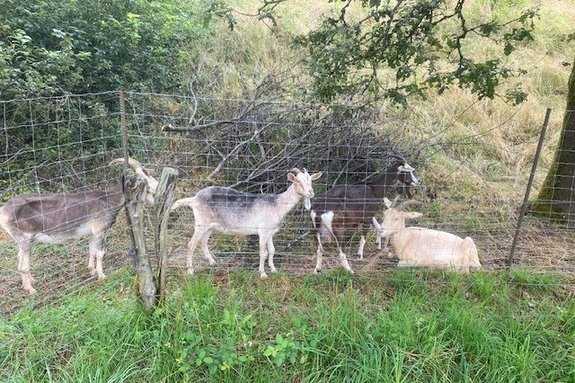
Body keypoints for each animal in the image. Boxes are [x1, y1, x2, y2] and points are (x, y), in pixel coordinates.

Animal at [0, 158, 159, 296]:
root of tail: (4, 210)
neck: (108, 200)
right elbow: (100, 253)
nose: (157, 188)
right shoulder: (100, 231)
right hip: (25, 238)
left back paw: (31, 281)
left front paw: (92, 270)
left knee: (20, 258)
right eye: (142, 179)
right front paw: (102, 276)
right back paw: (31, 289)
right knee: (22, 265)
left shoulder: (92, 234)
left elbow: (92, 251)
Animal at [171, 168, 324, 280]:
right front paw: (263, 274)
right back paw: (190, 270)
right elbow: (263, 252)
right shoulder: (263, 231)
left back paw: (212, 262)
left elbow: (272, 250)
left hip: (210, 226)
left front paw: (274, 270)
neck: (277, 205)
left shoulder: (270, 232)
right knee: (191, 244)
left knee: (203, 242)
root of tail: (194, 199)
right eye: (298, 181)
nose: (310, 192)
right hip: (201, 223)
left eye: (311, 180)